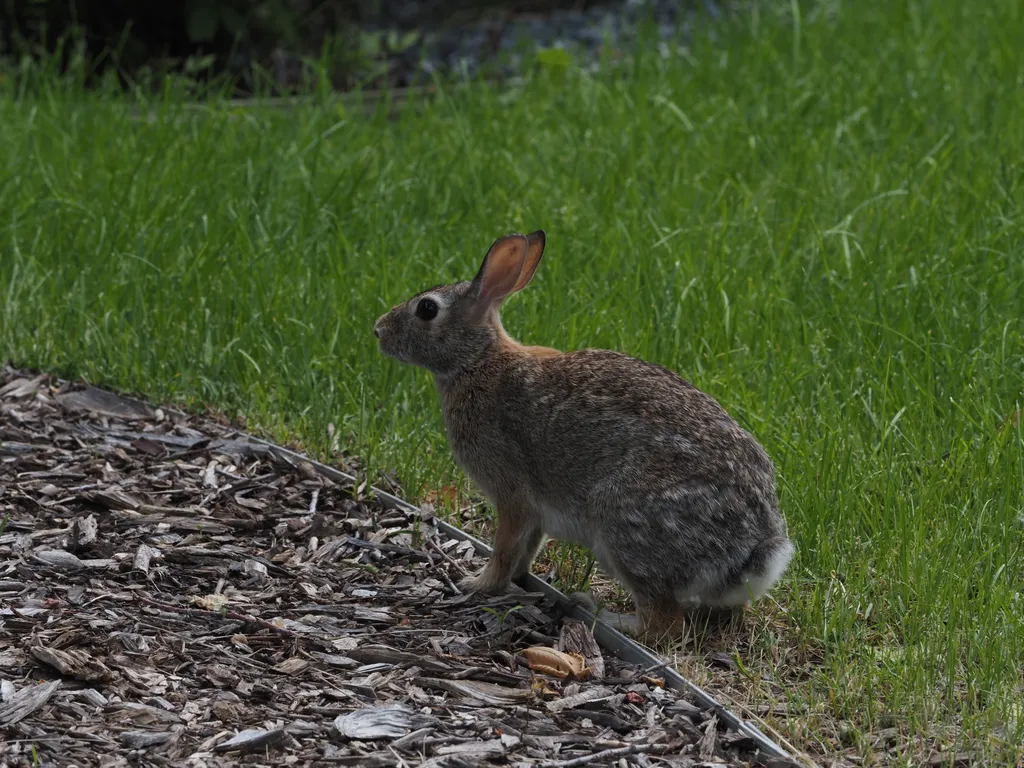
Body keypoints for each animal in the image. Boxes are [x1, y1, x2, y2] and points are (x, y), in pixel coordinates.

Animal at [373, 230, 795, 638]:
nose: (378, 330)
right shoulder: (536, 512)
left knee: (665, 626)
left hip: (622, 526)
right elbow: (527, 547)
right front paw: (514, 579)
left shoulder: (512, 492)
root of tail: (751, 548)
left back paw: (604, 617)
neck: (478, 361)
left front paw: (477, 583)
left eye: (427, 309)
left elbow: (505, 547)